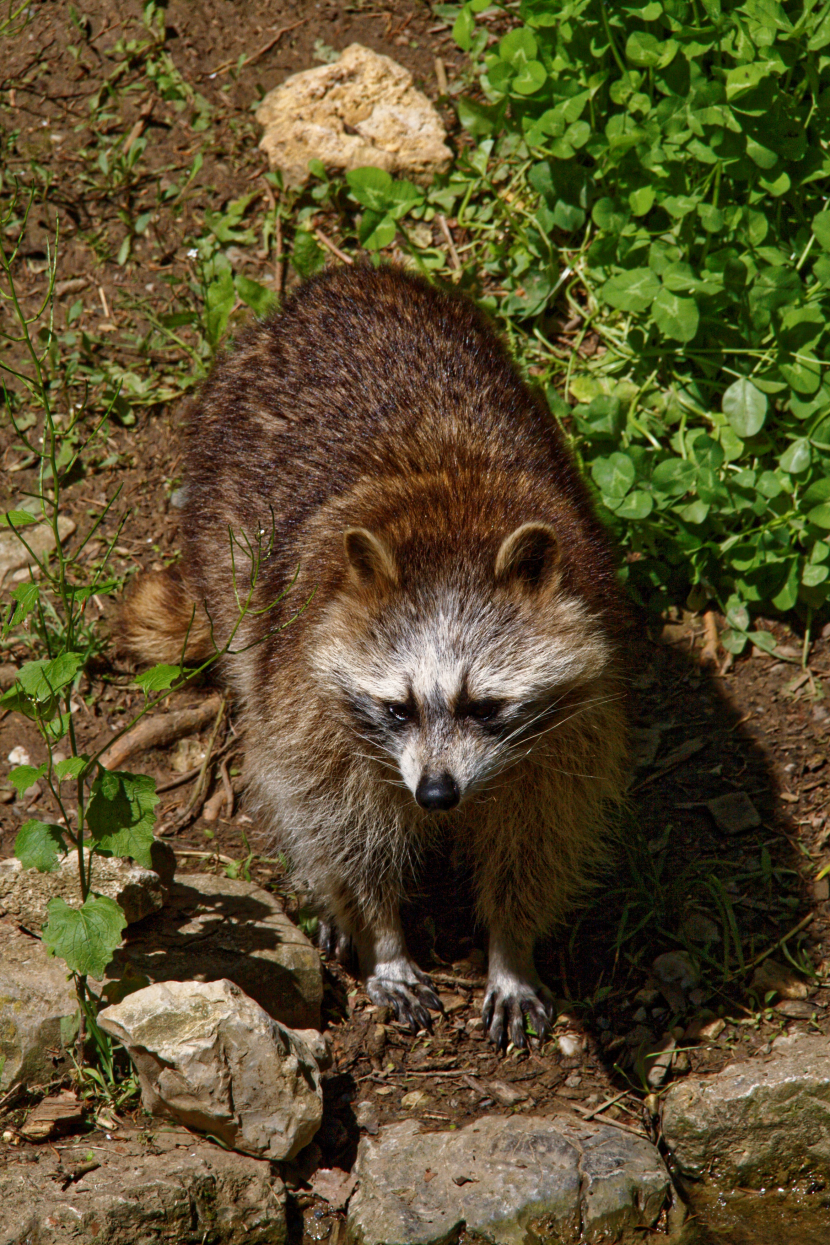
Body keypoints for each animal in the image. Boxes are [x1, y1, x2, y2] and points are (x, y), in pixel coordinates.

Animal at [123, 265, 627, 1050]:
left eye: (485, 706)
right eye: (397, 706)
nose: (437, 795)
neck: (451, 527)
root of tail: (346, 277)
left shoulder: (571, 732)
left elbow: (536, 837)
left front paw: (511, 947)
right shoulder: (307, 697)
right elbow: (335, 823)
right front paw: (382, 935)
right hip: (219, 523)